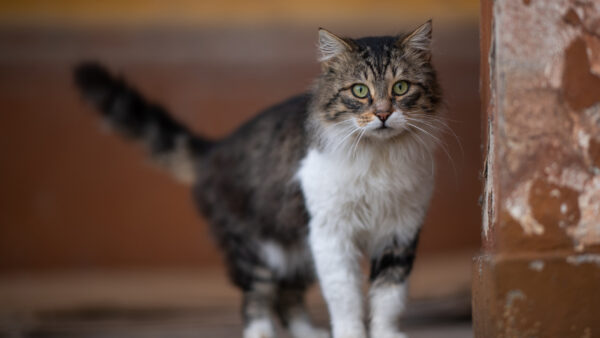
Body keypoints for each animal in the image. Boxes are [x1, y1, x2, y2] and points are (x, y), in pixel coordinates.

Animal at [74, 20, 440, 338]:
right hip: (258, 250)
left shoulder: (399, 231)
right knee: (257, 298)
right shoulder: (332, 234)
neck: (380, 158)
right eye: (360, 91)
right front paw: (350, 334)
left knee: (287, 298)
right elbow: (345, 297)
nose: (382, 114)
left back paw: (308, 333)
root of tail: (214, 149)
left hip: (299, 250)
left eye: (401, 87)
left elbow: (389, 297)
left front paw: (386, 334)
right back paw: (261, 332)